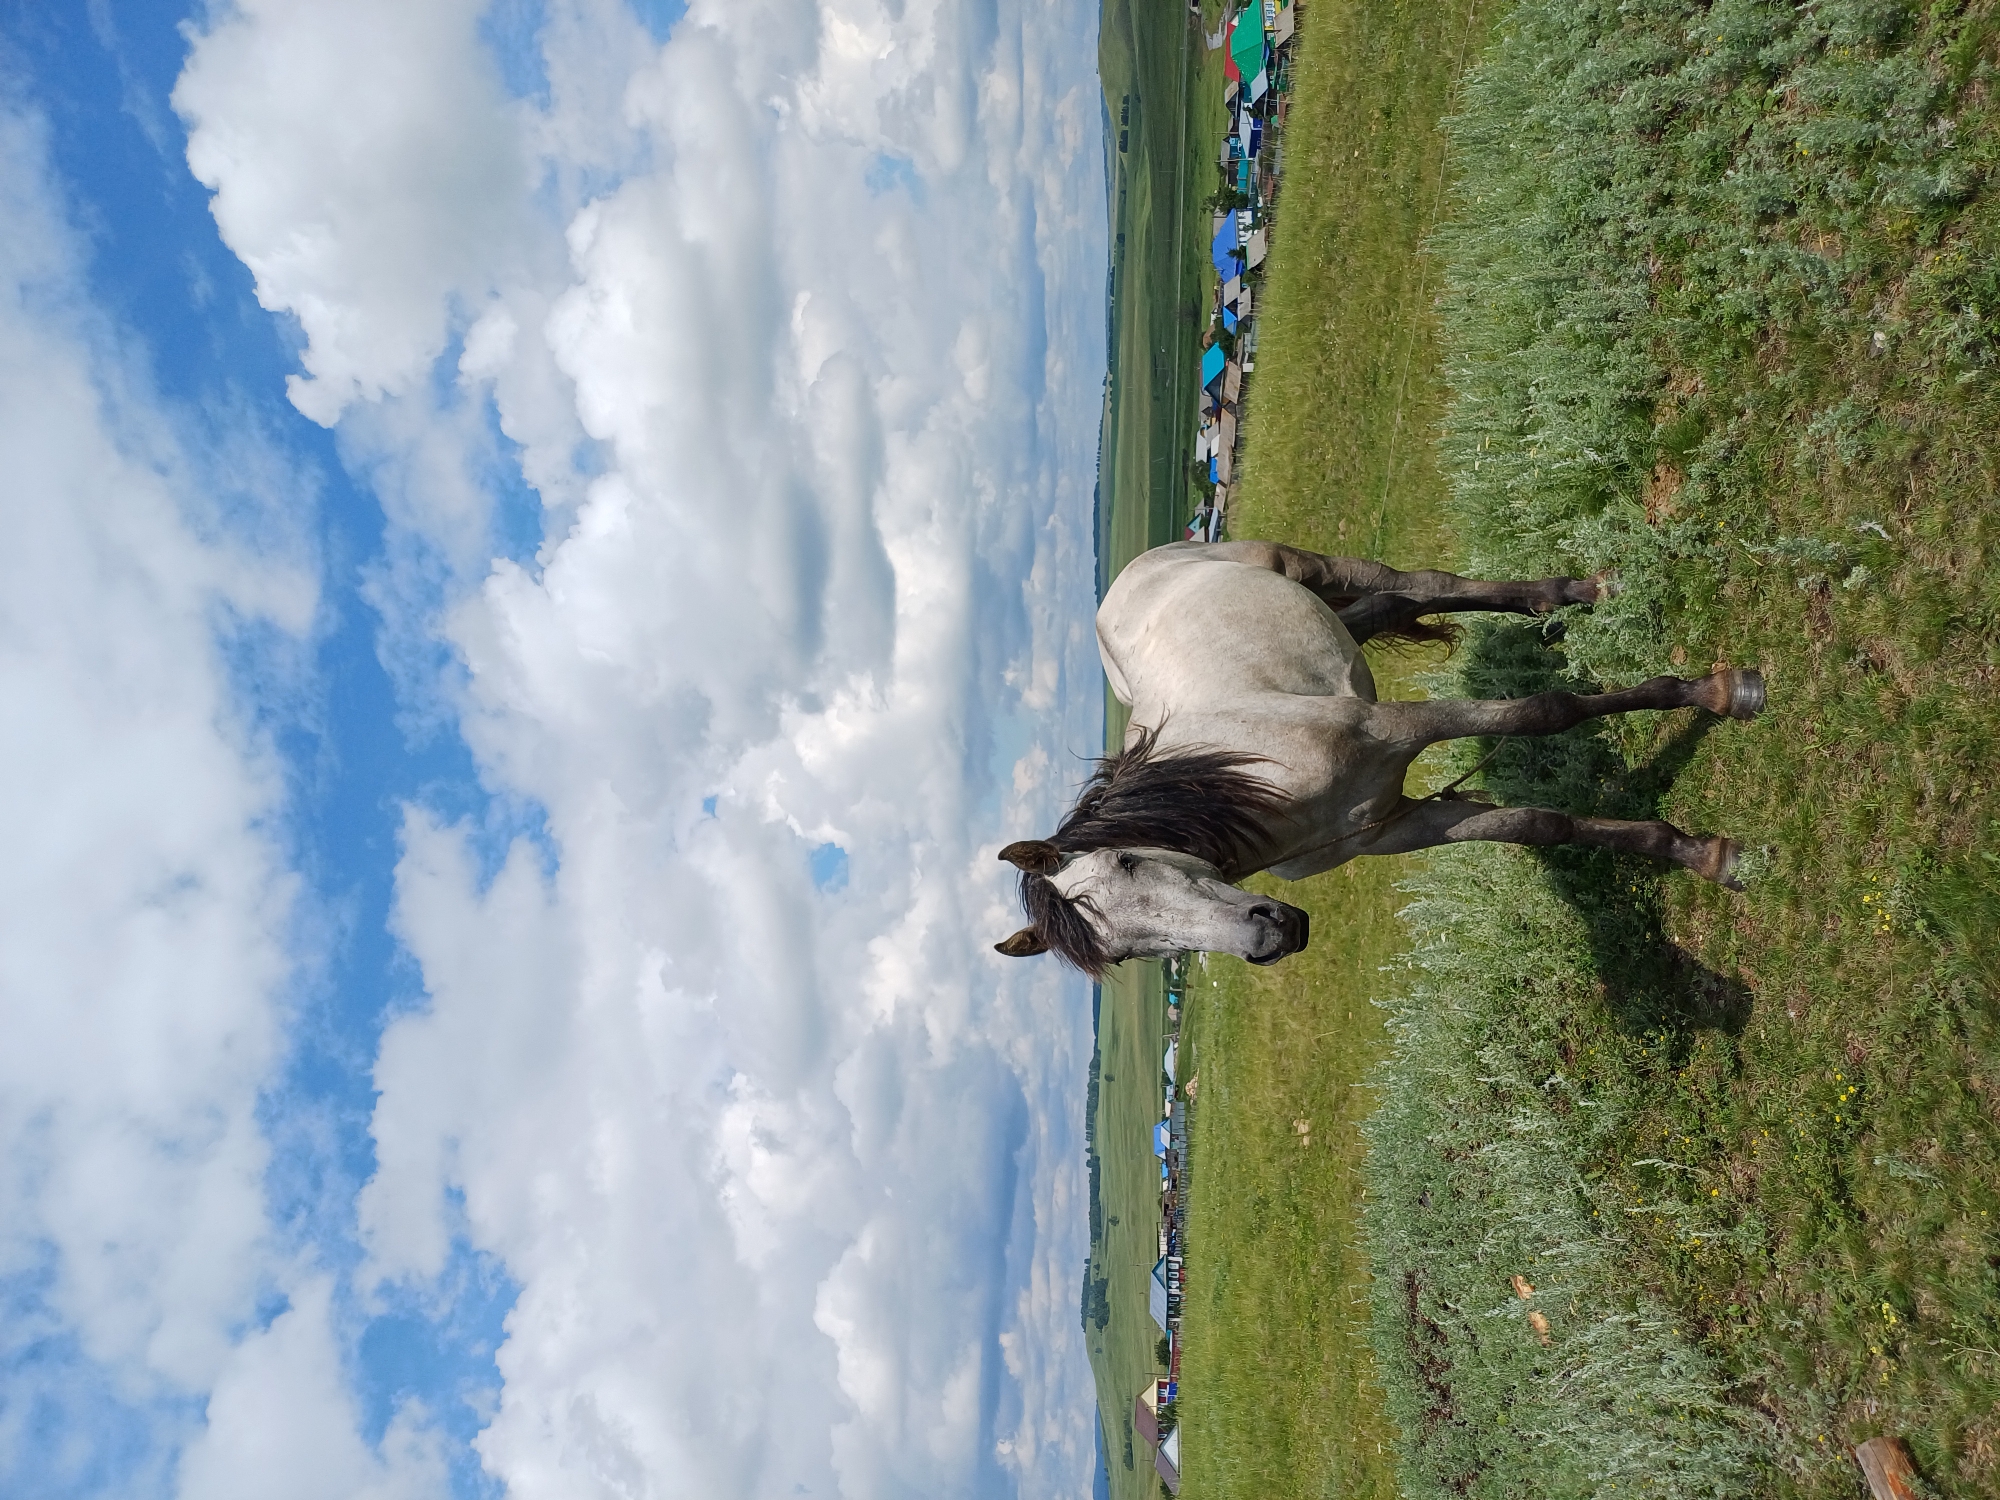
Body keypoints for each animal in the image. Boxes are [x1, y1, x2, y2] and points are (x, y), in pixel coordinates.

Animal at [994, 540, 1764, 972]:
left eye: (1130, 861)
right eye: (1123, 952)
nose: (1269, 939)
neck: (1257, 785)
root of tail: (1129, 578)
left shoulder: (1397, 728)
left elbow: (1548, 712)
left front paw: (1718, 693)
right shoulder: (1397, 827)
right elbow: (1540, 826)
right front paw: (1701, 854)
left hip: (1304, 566)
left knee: (1420, 582)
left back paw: (1576, 592)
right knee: (1394, 604)